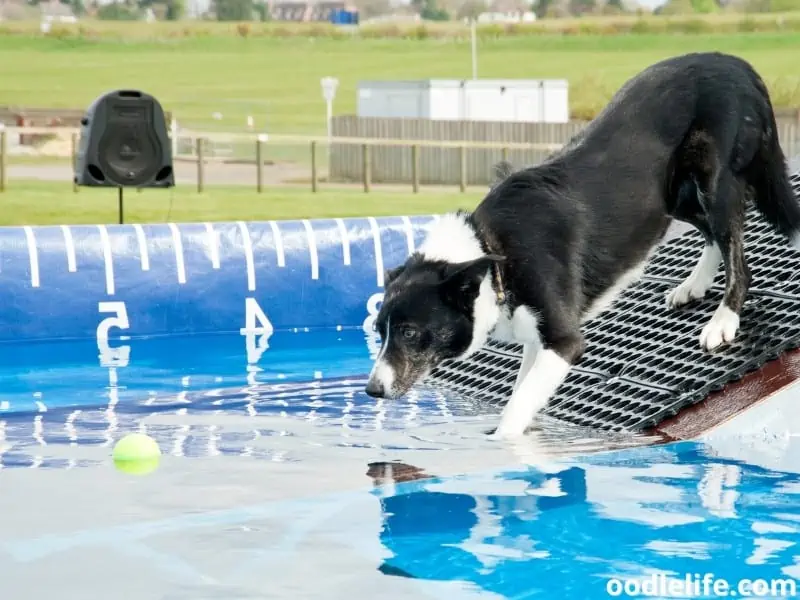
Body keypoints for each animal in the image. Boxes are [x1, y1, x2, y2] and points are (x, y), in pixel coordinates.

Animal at [364, 52, 800, 436]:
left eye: (408, 332)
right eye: (379, 330)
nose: (372, 390)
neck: (495, 255)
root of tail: (738, 64)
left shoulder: (564, 341)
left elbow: (516, 408)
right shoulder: (536, 340)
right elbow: (522, 394)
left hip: (713, 178)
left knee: (737, 253)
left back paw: (723, 320)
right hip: (670, 197)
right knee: (712, 235)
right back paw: (695, 284)